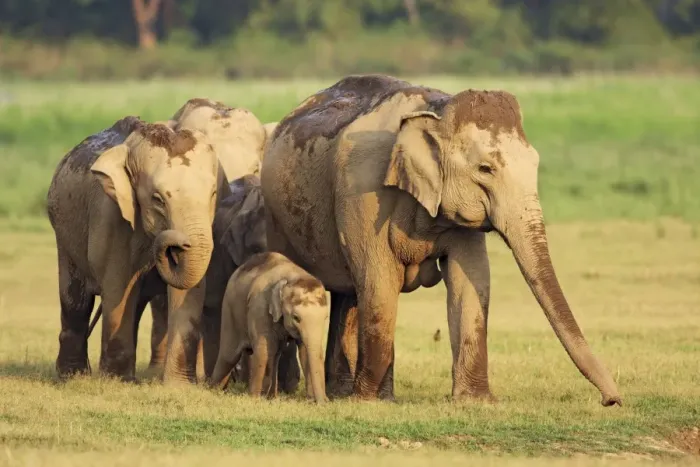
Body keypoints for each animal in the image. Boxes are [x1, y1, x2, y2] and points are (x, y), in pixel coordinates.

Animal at [47, 116, 230, 383]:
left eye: (213, 194)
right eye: (158, 199)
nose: (177, 244)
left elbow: (187, 291)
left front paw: (180, 385)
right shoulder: (111, 215)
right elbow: (118, 285)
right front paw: (116, 381)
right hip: (64, 234)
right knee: (76, 301)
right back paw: (73, 375)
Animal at [210, 252, 329, 403]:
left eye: (325, 318)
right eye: (296, 317)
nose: (325, 401)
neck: (292, 276)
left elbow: (304, 352)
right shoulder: (259, 305)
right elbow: (263, 350)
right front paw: (254, 399)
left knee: (274, 355)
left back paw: (272, 397)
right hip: (229, 309)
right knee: (229, 355)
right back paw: (212, 390)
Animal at [260, 74, 622, 406]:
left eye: (535, 163)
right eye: (486, 168)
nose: (612, 400)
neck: (437, 109)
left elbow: (472, 280)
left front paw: (475, 401)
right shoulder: (361, 189)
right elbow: (380, 282)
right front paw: (365, 402)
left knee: (348, 295)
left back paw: (349, 392)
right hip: (277, 220)